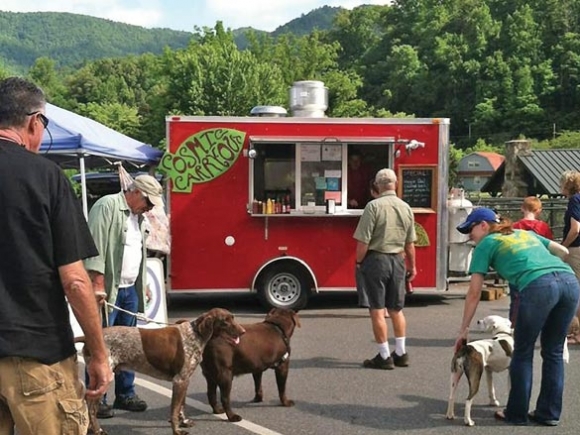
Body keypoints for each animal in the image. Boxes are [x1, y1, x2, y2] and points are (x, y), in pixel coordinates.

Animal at [76, 308, 245, 435]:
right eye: (225, 321)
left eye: (233, 318)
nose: (243, 331)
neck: (195, 334)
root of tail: (87, 338)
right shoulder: (180, 380)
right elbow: (174, 409)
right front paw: (177, 430)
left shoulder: (184, 380)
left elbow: (181, 406)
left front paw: (184, 422)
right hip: (104, 376)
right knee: (92, 407)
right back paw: (97, 430)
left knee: (88, 402)